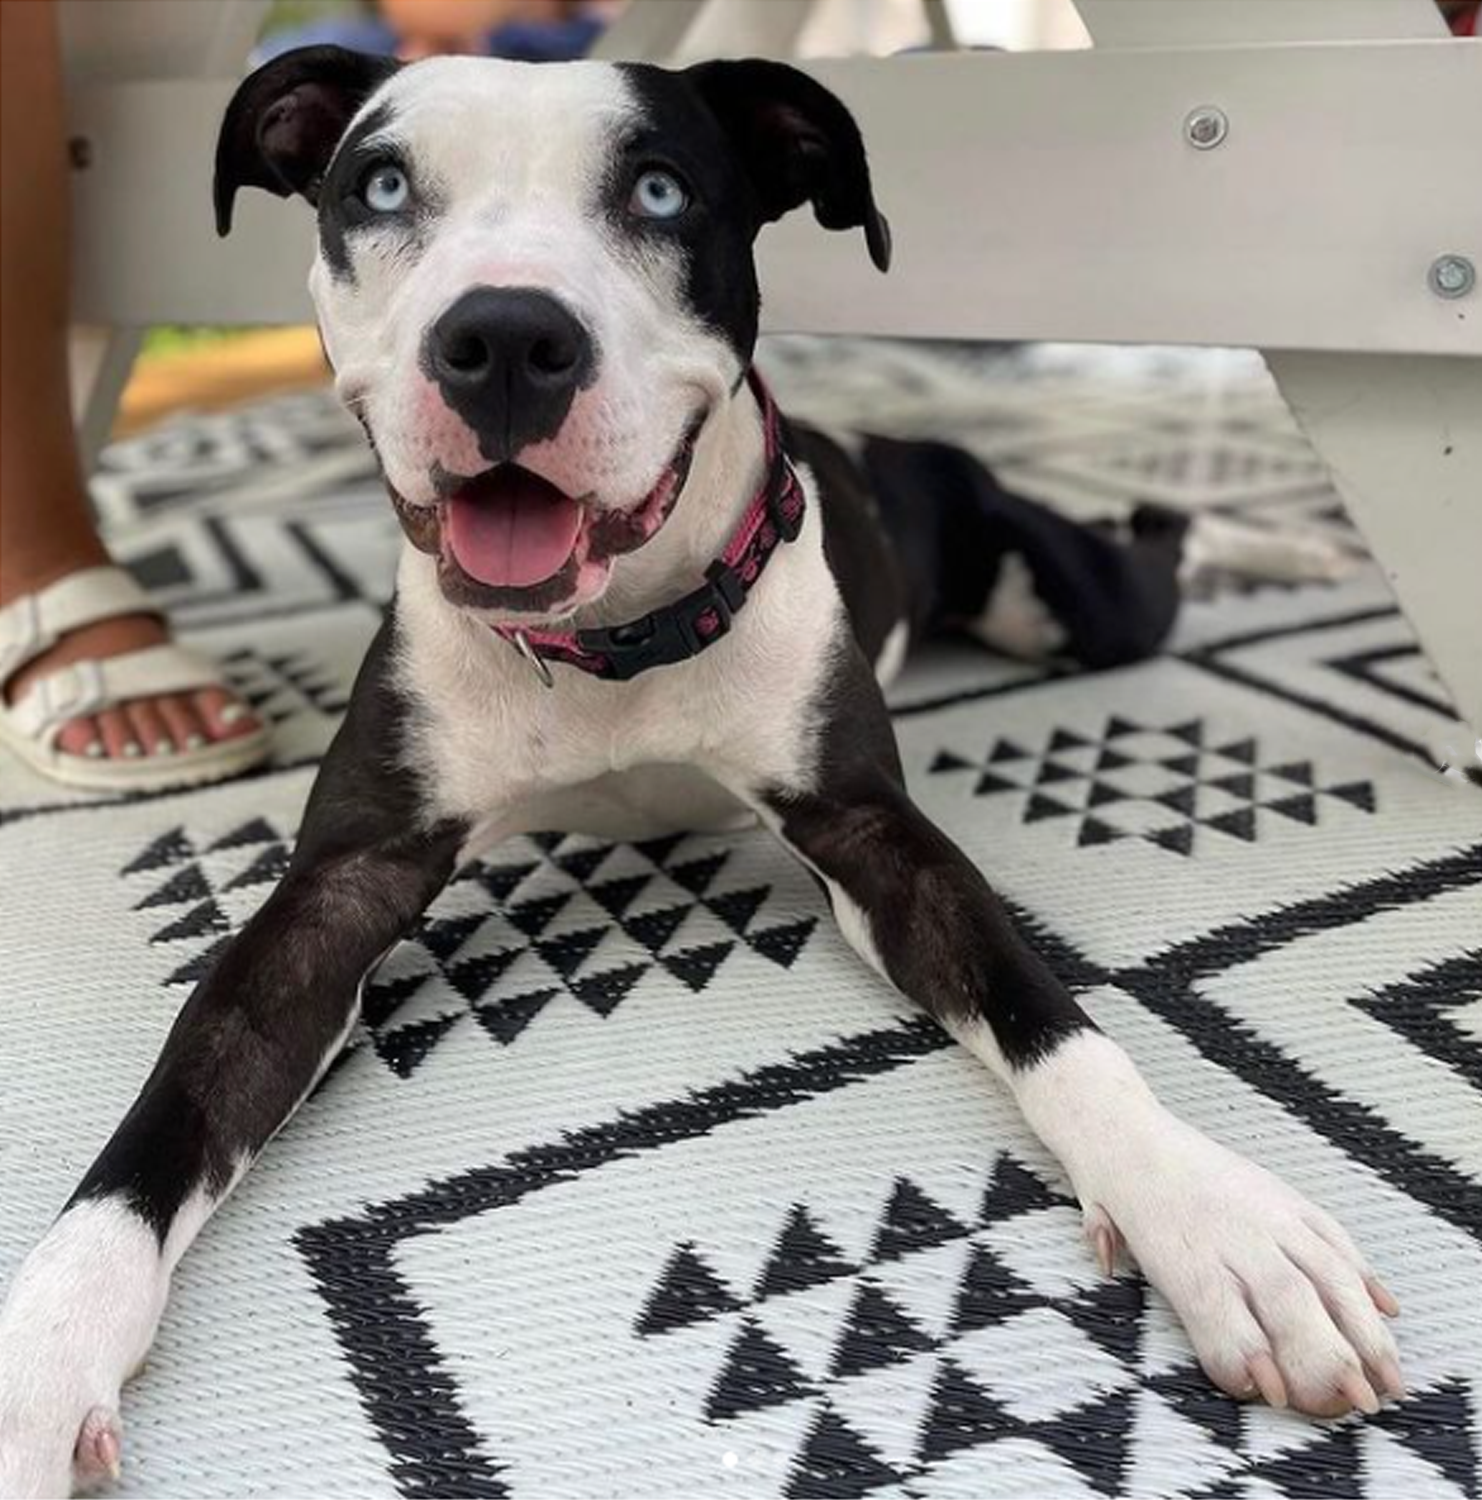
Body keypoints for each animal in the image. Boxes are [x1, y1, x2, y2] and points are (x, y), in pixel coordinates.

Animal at [0, 49, 1398, 1500]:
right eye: (377, 186)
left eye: (662, 191)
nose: (505, 338)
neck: (613, 633)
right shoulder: (336, 890)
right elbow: (174, 1103)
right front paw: (46, 1348)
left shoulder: (875, 837)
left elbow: (1055, 1024)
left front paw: (1215, 1220)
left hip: (1070, 603)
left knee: (1160, 534)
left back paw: (1279, 549)